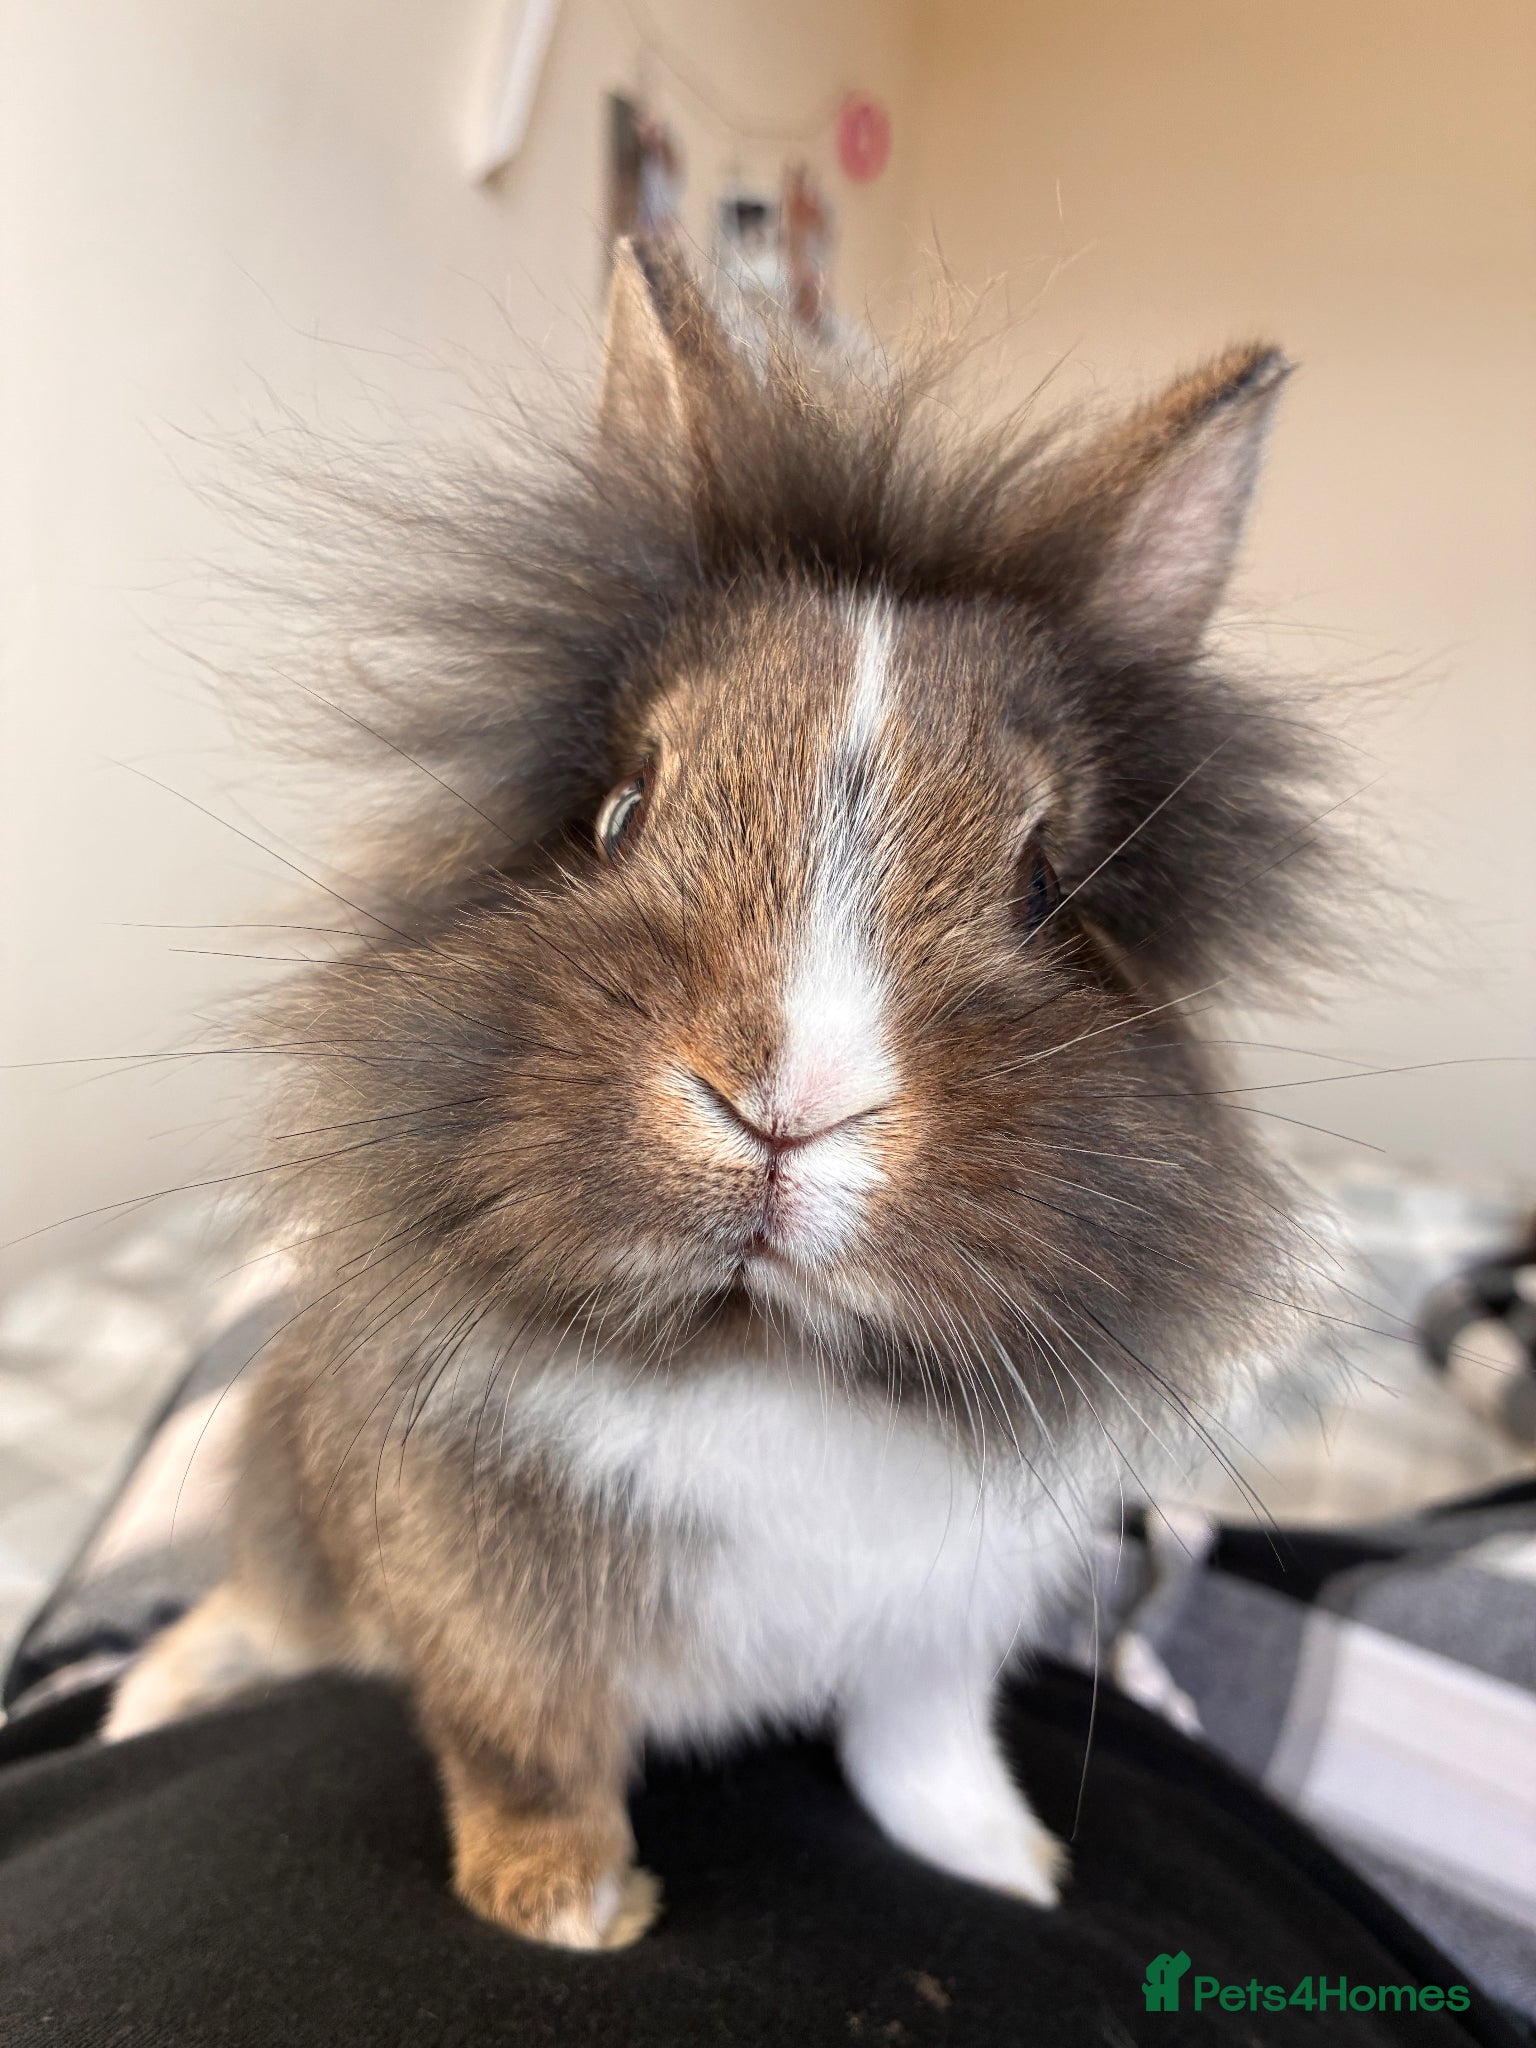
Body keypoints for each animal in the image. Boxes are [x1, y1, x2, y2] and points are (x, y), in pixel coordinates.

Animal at [106, 241, 1336, 1951]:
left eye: (1042, 889)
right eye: (621, 810)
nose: (787, 1105)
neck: (760, 1355)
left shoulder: (940, 1630)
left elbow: (921, 1747)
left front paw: (1006, 1866)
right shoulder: (479, 1599)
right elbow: (525, 1739)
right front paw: (563, 1906)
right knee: (247, 1619)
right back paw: (145, 1701)